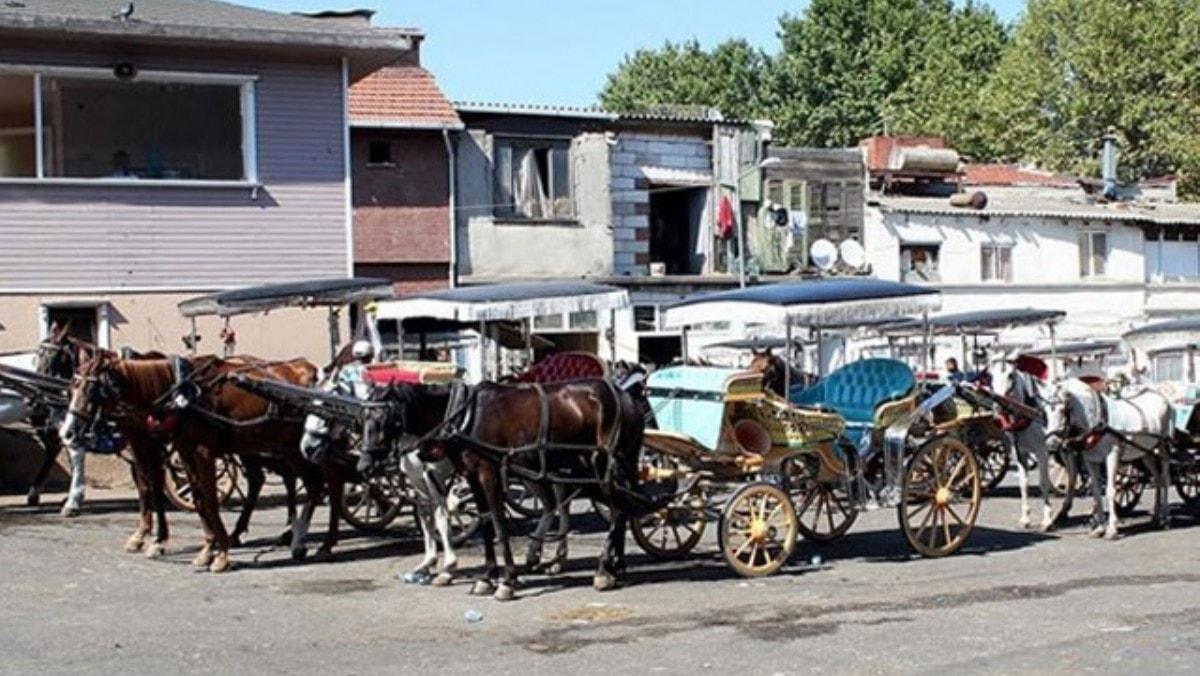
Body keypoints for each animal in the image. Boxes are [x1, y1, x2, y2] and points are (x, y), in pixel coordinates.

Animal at [422, 381, 648, 602]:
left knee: (617, 510)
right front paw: (486, 578)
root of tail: (627, 397)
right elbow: (486, 525)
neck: (468, 414)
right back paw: (616, 566)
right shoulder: (473, 476)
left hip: (606, 468)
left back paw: (603, 569)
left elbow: (499, 526)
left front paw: (507, 581)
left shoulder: (489, 473)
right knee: (619, 508)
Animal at [1051, 374, 1171, 540]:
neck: (1099, 421)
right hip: (1146, 452)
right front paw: (1099, 528)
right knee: (1157, 478)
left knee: (1165, 478)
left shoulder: (1112, 456)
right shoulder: (1091, 461)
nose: (1052, 443)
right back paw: (1155, 517)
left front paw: (1112, 528)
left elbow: (1110, 490)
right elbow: (1096, 491)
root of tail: (1160, 396)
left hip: (1162, 445)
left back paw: (1165, 518)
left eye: (1062, 409)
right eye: (1047, 409)